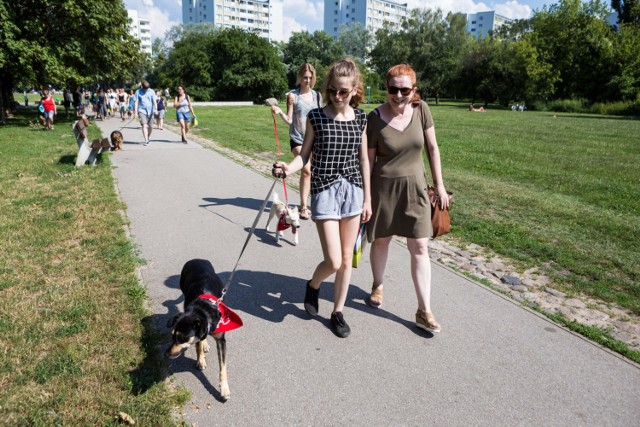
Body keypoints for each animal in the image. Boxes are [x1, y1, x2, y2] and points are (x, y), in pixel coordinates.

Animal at [166, 260, 244, 402]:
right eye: (172, 336)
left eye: (182, 338)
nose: (166, 355)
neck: (204, 309)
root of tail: (196, 259)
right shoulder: (198, 332)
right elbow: (198, 346)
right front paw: (200, 360)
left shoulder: (221, 340)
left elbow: (223, 367)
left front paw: (224, 389)